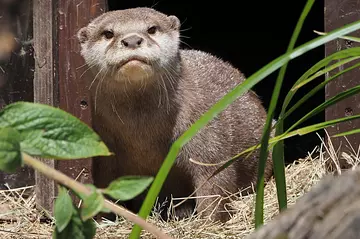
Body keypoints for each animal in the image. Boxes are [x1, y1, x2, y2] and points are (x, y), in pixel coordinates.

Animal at [76, 7, 272, 223]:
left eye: (152, 29)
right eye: (108, 33)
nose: (132, 40)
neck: (143, 135)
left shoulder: (207, 138)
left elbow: (215, 183)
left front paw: (208, 223)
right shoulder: (104, 149)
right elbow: (102, 184)